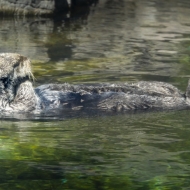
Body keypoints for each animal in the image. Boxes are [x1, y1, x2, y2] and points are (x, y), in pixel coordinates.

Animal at [0, 52, 190, 114]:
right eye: (16, 63)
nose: (26, 58)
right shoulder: (15, 107)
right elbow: (24, 98)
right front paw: (22, 77)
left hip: (156, 86)